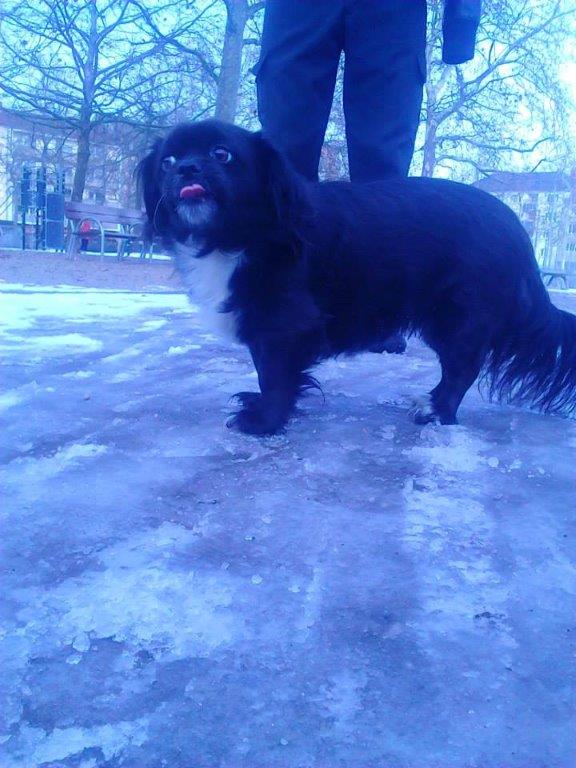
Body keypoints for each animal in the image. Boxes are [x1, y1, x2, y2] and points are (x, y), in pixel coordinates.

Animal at [138, 119, 576, 435]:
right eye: (166, 162)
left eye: (222, 154)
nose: (187, 168)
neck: (239, 235)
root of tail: (517, 229)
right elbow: (263, 370)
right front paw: (259, 407)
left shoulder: (284, 323)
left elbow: (275, 376)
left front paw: (264, 422)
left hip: (460, 315)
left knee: (462, 368)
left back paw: (437, 412)